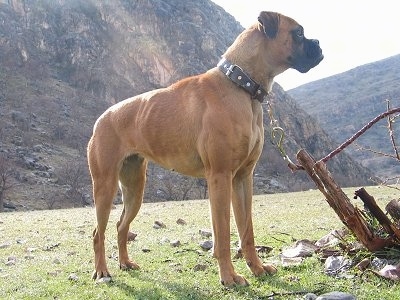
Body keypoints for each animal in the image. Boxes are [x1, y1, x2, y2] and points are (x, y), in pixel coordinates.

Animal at [87, 11, 322, 286]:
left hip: (135, 188)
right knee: (98, 232)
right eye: (298, 32)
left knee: (121, 226)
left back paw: (125, 263)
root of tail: (101, 119)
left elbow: (247, 230)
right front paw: (229, 276)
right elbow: (223, 233)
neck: (242, 85)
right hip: (105, 186)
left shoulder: (242, 179)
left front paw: (257, 267)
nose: (318, 44)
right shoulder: (220, 177)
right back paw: (102, 271)